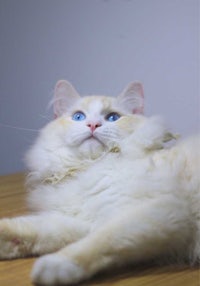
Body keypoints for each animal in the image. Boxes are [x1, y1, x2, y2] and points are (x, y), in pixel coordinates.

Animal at [0, 80, 200, 286]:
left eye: (113, 117)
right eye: (78, 116)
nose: (93, 124)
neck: (90, 166)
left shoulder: (161, 210)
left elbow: (99, 241)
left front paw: (55, 266)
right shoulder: (85, 220)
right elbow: (36, 228)